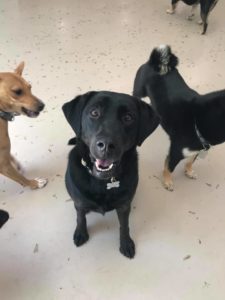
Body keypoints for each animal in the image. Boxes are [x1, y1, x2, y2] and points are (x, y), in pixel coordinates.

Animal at [0, 61, 47, 189]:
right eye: (17, 91)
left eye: (30, 87)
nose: (42, 105)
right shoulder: (3, 165)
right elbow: (21, 179)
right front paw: (34, 183)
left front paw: (16, 163)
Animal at [62, 91, 159, 258]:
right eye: (94, 113)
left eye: (128, 117)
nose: (106, 145)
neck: (103, 182)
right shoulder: (79, 203)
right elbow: (80, 218)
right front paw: (81, 233)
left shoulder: (124, 206)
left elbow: (124, 225)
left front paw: (125, 243)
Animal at [133, 46, 225, 192]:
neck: (195, 122)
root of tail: (154, 63)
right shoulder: (176, 152)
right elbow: (169, 168)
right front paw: (167, 181)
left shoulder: (196, 150)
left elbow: (190, 161)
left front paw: (189, 171)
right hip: (139, 91)